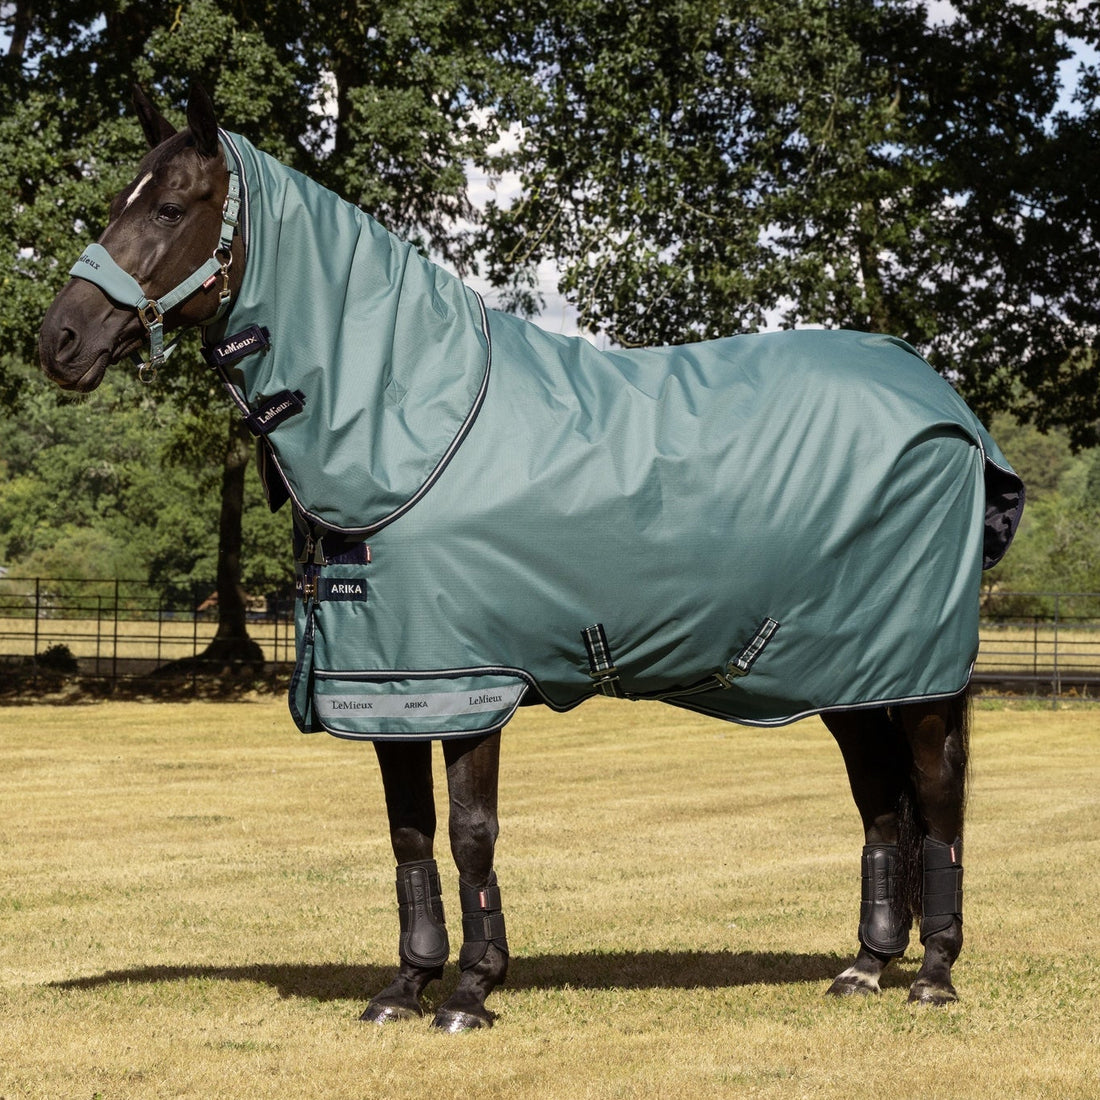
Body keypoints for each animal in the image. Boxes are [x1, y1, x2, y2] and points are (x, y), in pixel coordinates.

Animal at [39, 86, 1024, 1031]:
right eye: (121, 200)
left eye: (171, 207)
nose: (60, 339)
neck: (408, 417)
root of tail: (947, 406)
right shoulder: (390, 685)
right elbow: (408, 835)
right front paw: (405, 987)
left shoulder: (472, 679)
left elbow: (471, 833)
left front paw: (471, 992)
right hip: (845, 672)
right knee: (882, 801)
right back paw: (865, 967)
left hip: (915, 678)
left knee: (936, 798)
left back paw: (933, 976)